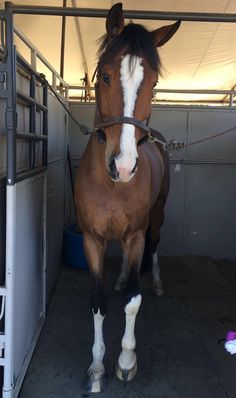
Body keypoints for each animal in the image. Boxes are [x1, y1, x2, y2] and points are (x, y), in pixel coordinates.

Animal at [74, 3, 180, 394]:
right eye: (104, 76)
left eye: (154, 83)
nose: (122, 165)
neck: (113, 185)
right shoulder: (92, 239)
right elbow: (98, 302)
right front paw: (96, 369)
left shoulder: (135, 235)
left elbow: (133, 302)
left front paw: (125, 362)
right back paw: (120, 277)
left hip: (158, 216)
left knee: (155, 243)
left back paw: (158, 281)